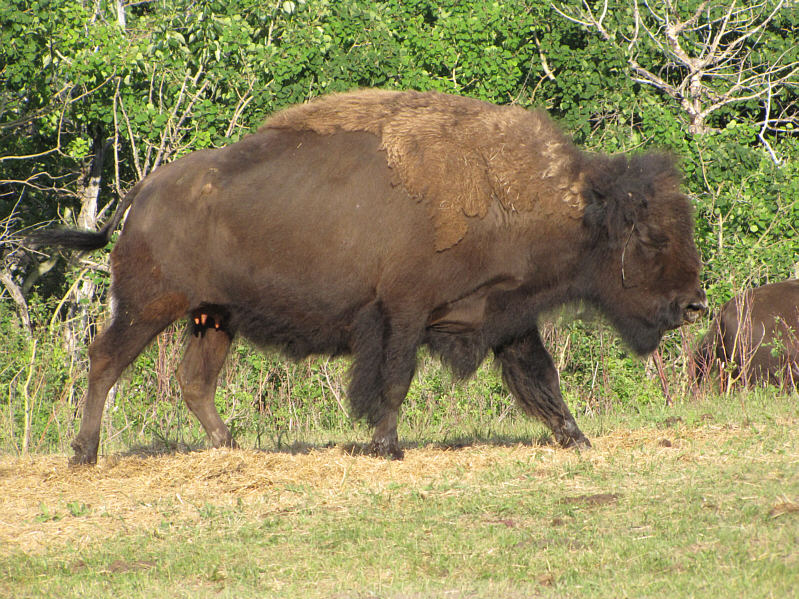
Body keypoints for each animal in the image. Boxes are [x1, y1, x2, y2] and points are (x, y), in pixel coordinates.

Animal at [30, 89, 706, 465]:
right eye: (651, 239)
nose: (694, 304)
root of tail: (144, 193)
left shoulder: (506, 318)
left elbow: (541, 379)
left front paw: (577, 438)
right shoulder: (403, 312)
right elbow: (396, 379)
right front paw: (387, 445)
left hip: (214, 318)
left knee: (194, 381)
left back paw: (229, 445)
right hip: (148, 307)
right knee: (105, 359)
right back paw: (84, 454)